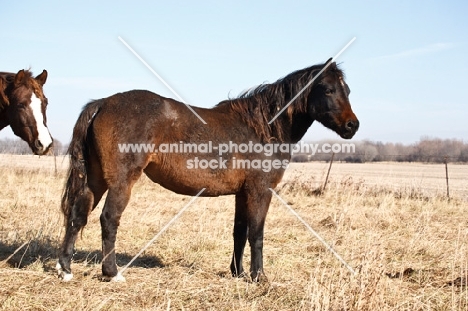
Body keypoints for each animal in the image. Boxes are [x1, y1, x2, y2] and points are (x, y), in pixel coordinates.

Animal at [57, 59, 358, 284]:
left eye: (348, 90)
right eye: (328, 89)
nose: (352, 126)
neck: (264, 128)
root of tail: (103, 103)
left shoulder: (242, 194)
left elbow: (239, 232)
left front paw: (237, 273)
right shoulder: (260, 191)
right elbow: (257, 234)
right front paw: (259, 277)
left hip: (95, 180)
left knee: (77, 216)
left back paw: (65, 269)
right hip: (121, 182)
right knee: (108, 219)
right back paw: (112, 273)